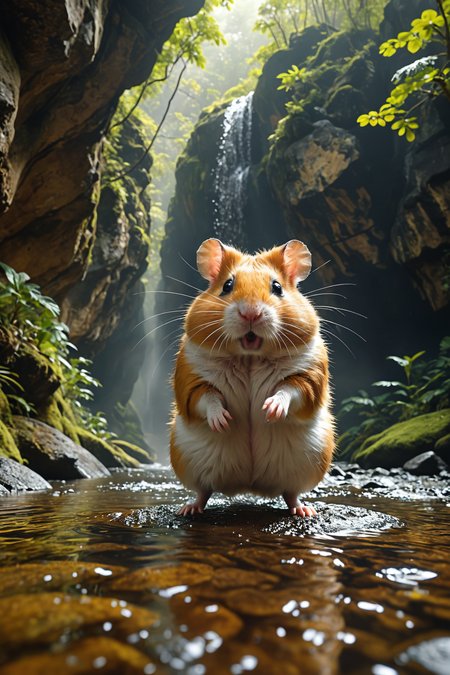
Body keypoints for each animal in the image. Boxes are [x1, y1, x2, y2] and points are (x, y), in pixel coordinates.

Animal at [170, 238, 335, 517]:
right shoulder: (190, 378)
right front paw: (223, 421)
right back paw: (189, 508)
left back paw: (304, 510)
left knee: (290, 493)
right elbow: (207, 398)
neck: (250, 357)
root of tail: (249, 485)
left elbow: (289, 390)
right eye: (227, 285)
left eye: (277, 287)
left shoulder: (309, 374)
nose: (250, 313)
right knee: (204, 490)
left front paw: (271, 410)